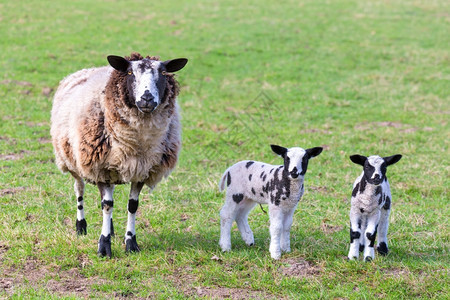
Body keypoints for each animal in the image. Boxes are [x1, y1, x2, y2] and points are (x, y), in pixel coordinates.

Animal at [50, 52, 188, 256]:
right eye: (130, 72)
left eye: (163, 73)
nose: (147, 98)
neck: (137, 144)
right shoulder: (99, 167)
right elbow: (107, 205)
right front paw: (104, 246)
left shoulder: (140, 170)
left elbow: (132, 206)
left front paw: (131, 243)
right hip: (72, 159)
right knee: (80, 190)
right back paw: (81, 226)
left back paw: (112, 228)